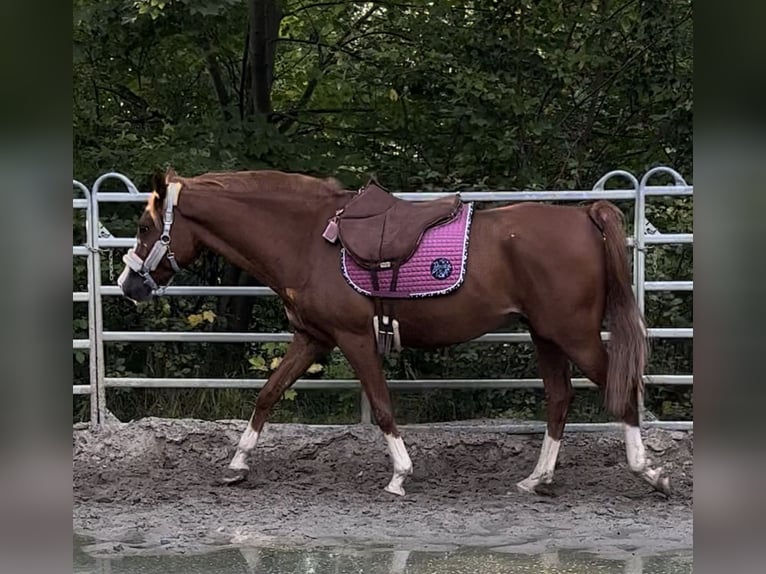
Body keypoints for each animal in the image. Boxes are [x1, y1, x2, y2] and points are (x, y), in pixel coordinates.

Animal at [118, 170, 672, 500]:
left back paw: (648, 472)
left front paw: (401, 473)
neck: (307, 238)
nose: (128, 284)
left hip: (572, 334)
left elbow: (383, 406)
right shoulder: (313, 338)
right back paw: (539, 478)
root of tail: (583, 216)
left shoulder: (353, 338)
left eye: (145, 227)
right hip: (546, 335)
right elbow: (267, 395)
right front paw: (237, 464)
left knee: (620, 390)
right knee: (559, 398)